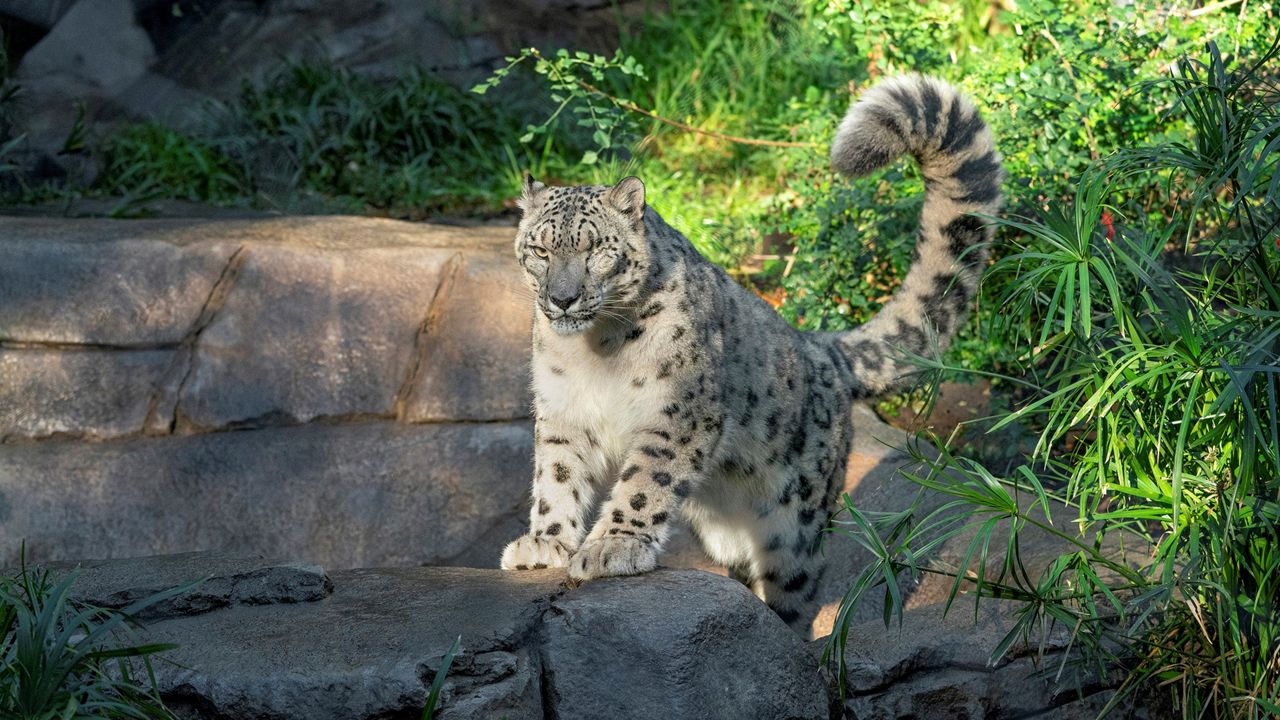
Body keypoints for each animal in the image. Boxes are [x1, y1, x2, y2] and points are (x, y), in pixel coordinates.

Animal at [496, 75, 998, 630]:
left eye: (595, 251)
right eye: (540, 250)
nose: (562, 298)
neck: (596, 350)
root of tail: (820, 347)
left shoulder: (678, 410)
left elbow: (646, 480)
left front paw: (613, 546)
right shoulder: (563, 408)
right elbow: (557, 475)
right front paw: (544, 544)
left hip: (795, 521)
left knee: (797, 583)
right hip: (727, 533)